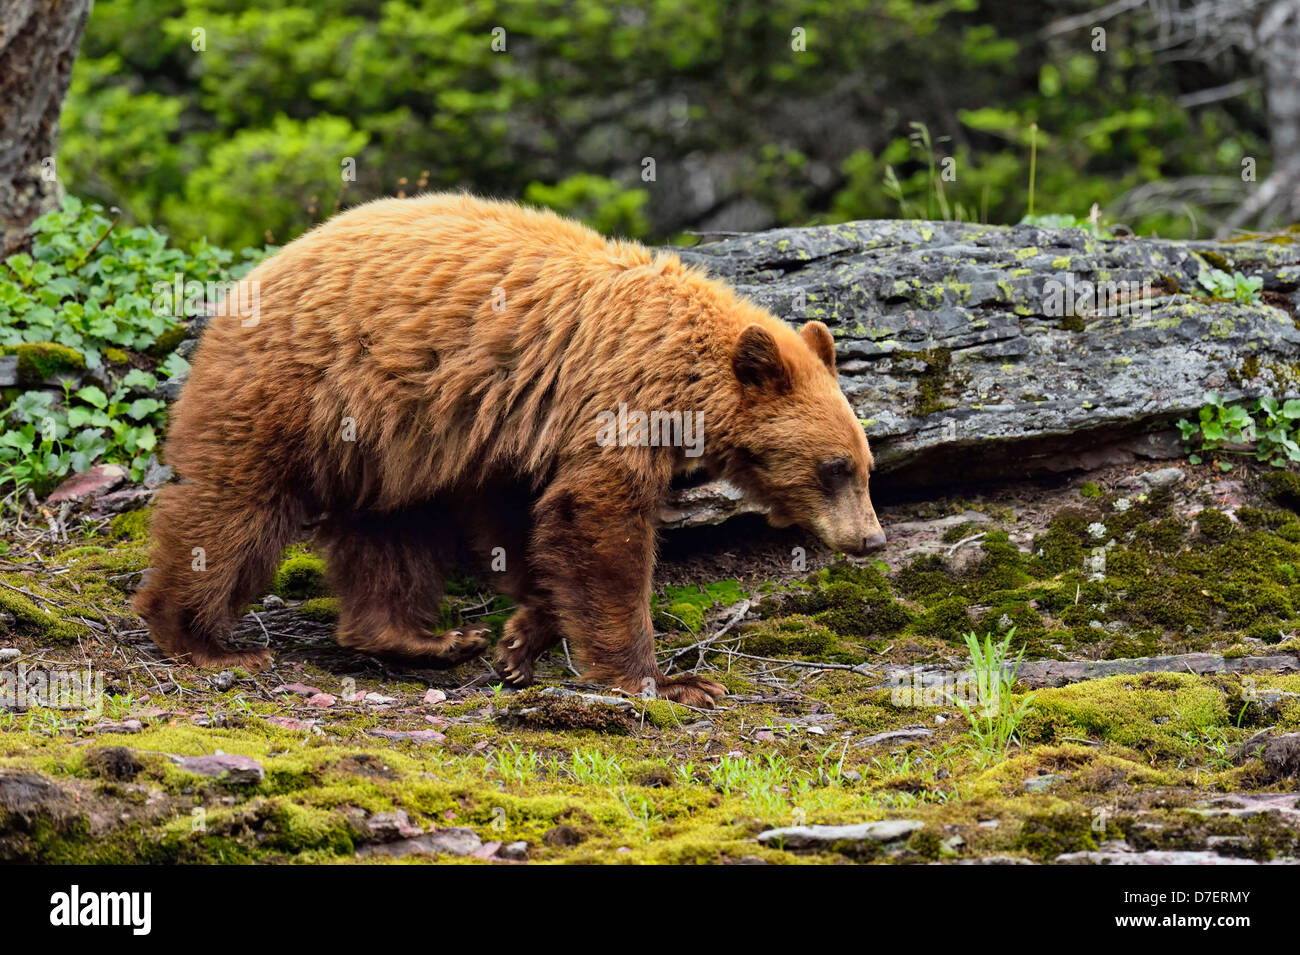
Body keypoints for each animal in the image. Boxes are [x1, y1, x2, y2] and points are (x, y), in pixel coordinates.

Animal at [134, 194, 883, 706]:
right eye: (834, 467)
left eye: (866, 466)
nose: (871, 539)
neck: (688, 374)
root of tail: (247, 281)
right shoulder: (614, 400)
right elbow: (597, 519)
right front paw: (665, 678)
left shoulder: (522, 427)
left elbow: (526, 522)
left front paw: (521, 640)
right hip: (295, 392)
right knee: (233, 508)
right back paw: (200, 640)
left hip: (382, 441)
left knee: (391, 533)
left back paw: (421, 638)